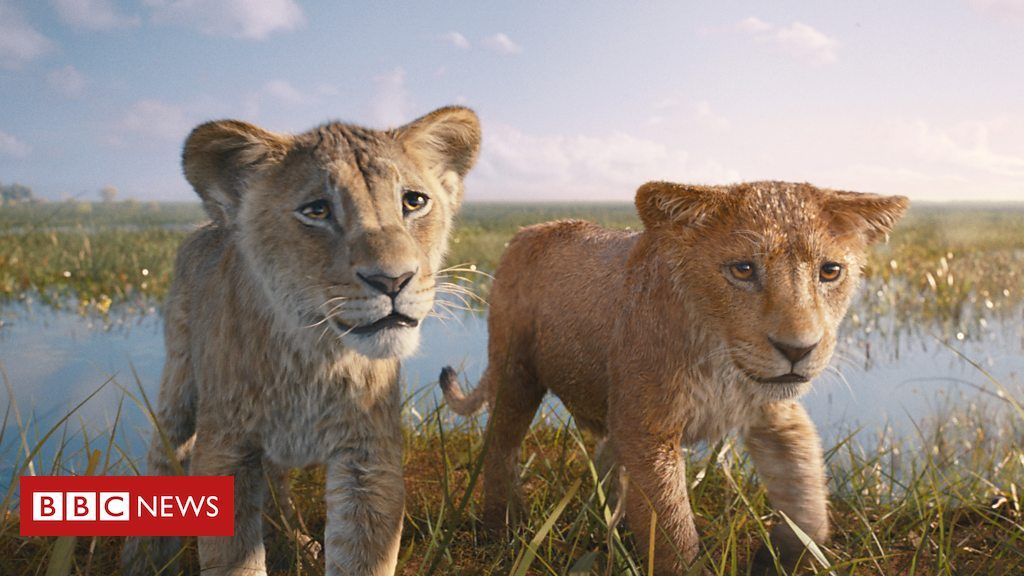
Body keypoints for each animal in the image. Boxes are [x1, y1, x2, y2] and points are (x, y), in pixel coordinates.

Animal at [121, 106, 481, 576]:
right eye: (317, 210)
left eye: (413, 201)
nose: (393, 280)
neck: (315, 356)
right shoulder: (226, 451)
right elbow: (233, 559)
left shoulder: (368, 459)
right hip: (179, 381)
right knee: (165, 455)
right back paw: (142, 560)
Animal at [440, 181, 907, 574]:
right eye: (742, 269)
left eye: (830, 271)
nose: (798, 350)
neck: (721, 361)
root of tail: (528, 230)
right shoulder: (649, 430)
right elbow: (673, 530)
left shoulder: (776, 416)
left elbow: (808, 499)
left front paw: (784, 556)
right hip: (515, 371)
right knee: (501, 446)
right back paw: (502, 529)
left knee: (607, 461)